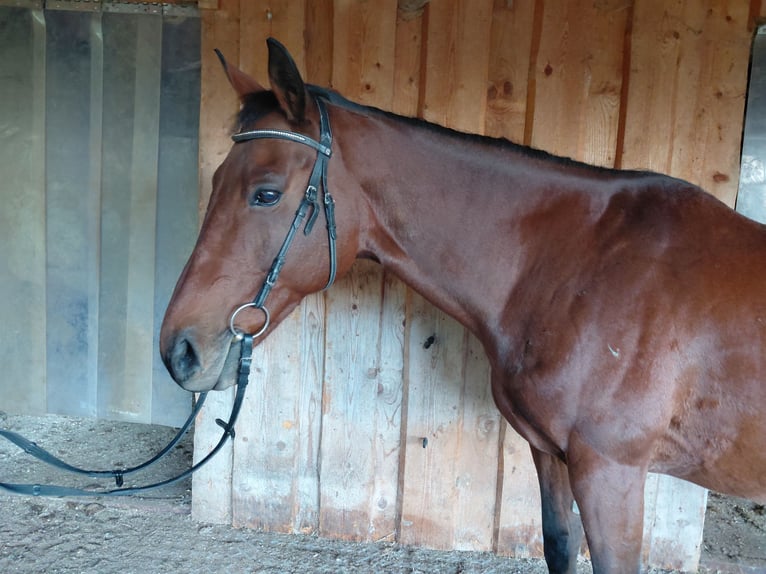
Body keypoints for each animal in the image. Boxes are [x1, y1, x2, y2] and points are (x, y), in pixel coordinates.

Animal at [160, 38, 766, 573]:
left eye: (265, 193)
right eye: (217, 180)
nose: (179, 351)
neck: (580, 263)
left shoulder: (611, 473)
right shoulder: (553, 456)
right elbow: (559, 547)